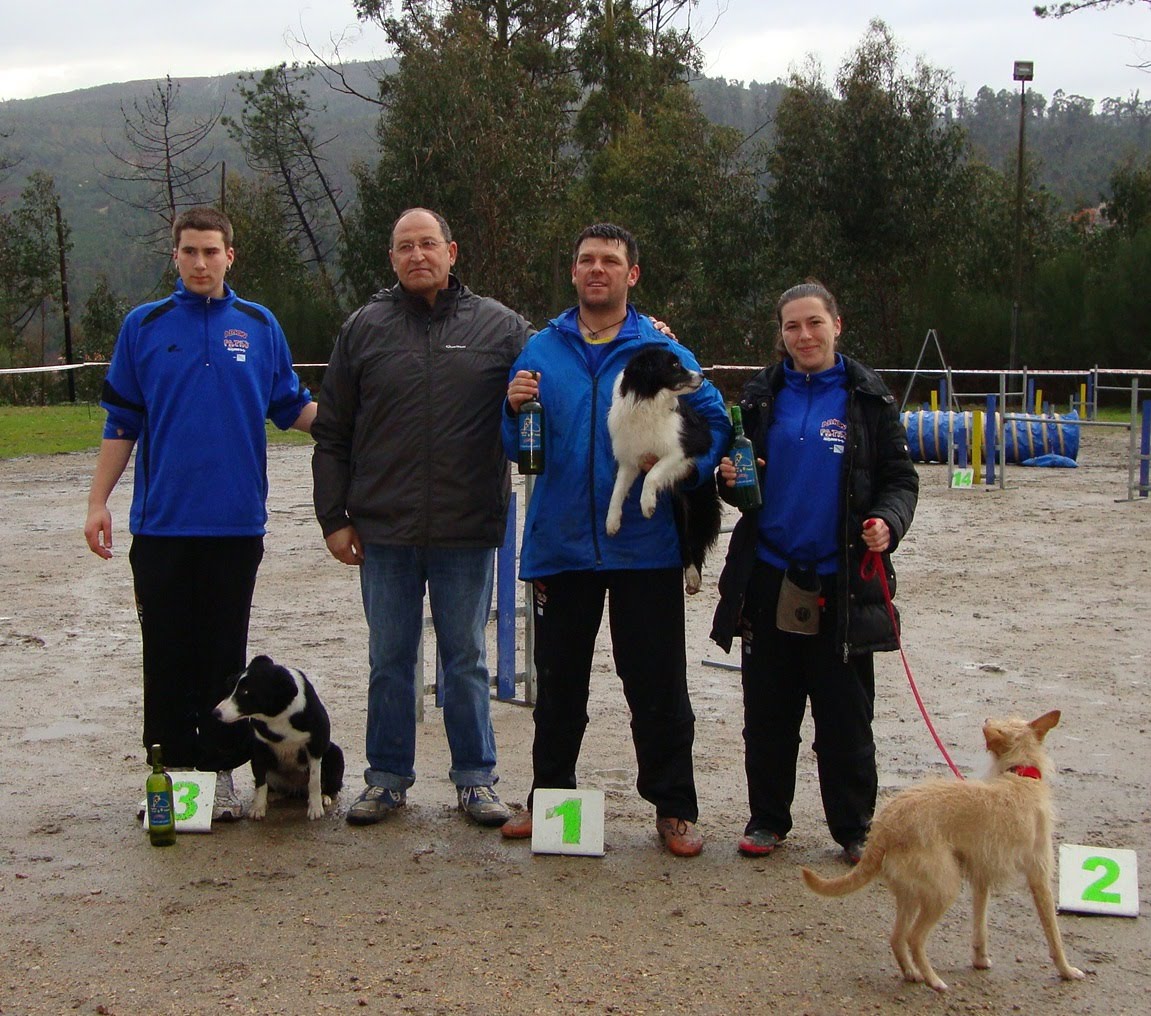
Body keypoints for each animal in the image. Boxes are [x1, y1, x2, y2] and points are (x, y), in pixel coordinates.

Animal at [213, 655, 344, 821]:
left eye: (245, 691)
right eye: (232, 686)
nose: (216, 713)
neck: (278, 715)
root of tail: (295, 788)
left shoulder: (315, 745)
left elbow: (314, 781)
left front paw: (315, 808)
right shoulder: (259, 748)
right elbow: (260, 782)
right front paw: (258, 807)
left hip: (335, 753)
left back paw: (324, 796)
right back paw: (273, 795)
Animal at [605, 346, 722, 594]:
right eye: (675, 365)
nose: (702, 376)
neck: (648, 401)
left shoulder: (683, 449)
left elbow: (653, 474)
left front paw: (646, 504)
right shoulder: (630, 460)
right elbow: (617, 491)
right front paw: (612, 521)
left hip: (698, 503)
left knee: (694, 537)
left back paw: (693, 575)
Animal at [800, 710, 1084, 991]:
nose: (986, 720)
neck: (1019, 775)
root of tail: (886, 825)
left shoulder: (981, 879)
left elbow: (980, 926)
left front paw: (980, 959)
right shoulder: (1039, 876)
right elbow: (1054, 934)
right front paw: (1066, 970)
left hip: (911, 893)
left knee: (897, 937)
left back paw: (912, 973)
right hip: (944, 889)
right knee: (914, 938)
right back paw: (934, 980)